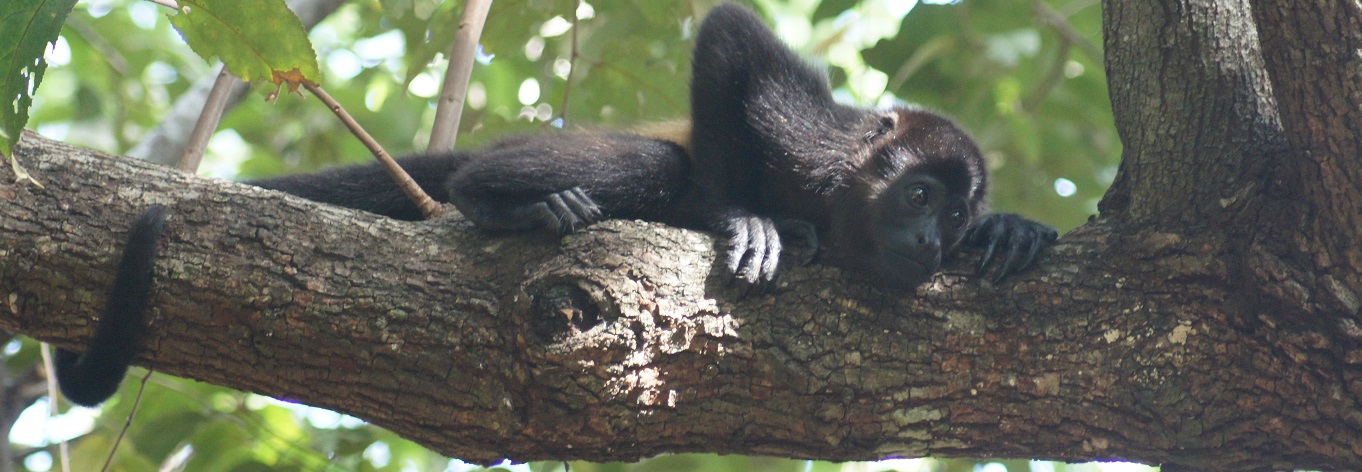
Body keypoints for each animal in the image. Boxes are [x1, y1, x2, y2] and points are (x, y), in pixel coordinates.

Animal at [53, 1, 1051, 408]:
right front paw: (749, 221)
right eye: (916, 193)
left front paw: (1010, 232)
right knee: (647, 163)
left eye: (949, 218)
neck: (846, 202)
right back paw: (506, 205)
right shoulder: (819, 137)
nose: (929, 239)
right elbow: (730, 43)